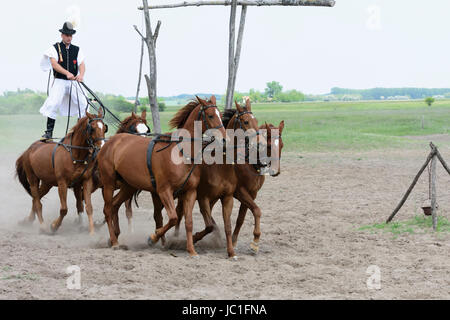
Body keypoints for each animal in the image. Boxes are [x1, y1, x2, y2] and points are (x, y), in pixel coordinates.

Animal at [97, 95, 227, 255]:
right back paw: (115, 242)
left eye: (220, 115)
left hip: (129, 186)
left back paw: (114, 237)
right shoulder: (164, 191)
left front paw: (191, 250)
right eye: (210, 115)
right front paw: (153, 238)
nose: (224, 139)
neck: (180, 152)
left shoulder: (190, 192)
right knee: (108, 209)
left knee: (115, 205)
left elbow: (188, 222)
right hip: (108, 183)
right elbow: (172, 218)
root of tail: (110, 142)